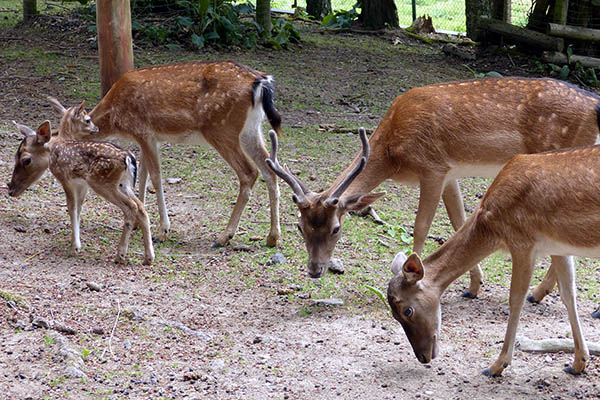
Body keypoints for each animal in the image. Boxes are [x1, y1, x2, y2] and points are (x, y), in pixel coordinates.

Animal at [9, 108, 155, 264]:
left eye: (26, 160)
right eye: (15, 156)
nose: (11, 190)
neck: (53, 151)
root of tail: (129, 158)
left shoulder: (65, 178)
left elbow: (71, 208)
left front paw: (74, 248)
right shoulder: (82, 184)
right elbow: (78, 209)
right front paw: (76, 244)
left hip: (101, 181)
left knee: (131, 206)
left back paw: (120, 254)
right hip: (123, 184)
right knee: (141, 206)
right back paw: (148, 257)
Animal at [49, 60, 284, 247]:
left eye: (86, 120)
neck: (116, 119)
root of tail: (260, 81)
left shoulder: (144, 132)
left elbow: (155, 176)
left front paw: (163, 230)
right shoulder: (149, 138)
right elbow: (142, 174)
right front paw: (139, 221)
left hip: (221, 129)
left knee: (249, 172)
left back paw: (224, 236)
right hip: (251, 129)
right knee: (269, 169)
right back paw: (272, 237)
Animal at [268, 77, 600, 304]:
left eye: (336, 228)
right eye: (299, 226)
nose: (314, 270)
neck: (392, 152)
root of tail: (595, 106)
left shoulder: (432, 167)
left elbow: (422, 226)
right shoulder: (450, 174)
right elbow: (458, 219)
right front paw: (473, 287)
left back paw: (538, 293)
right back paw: (540, 293)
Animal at [386, 145, 600, 378]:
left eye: (407, 311)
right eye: (393, 316)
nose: (423, 357)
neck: (491, 225)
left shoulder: (522, 242)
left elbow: (515, 300)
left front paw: (496, 366)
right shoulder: (558, 247)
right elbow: (569, 295)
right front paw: (578, 362)